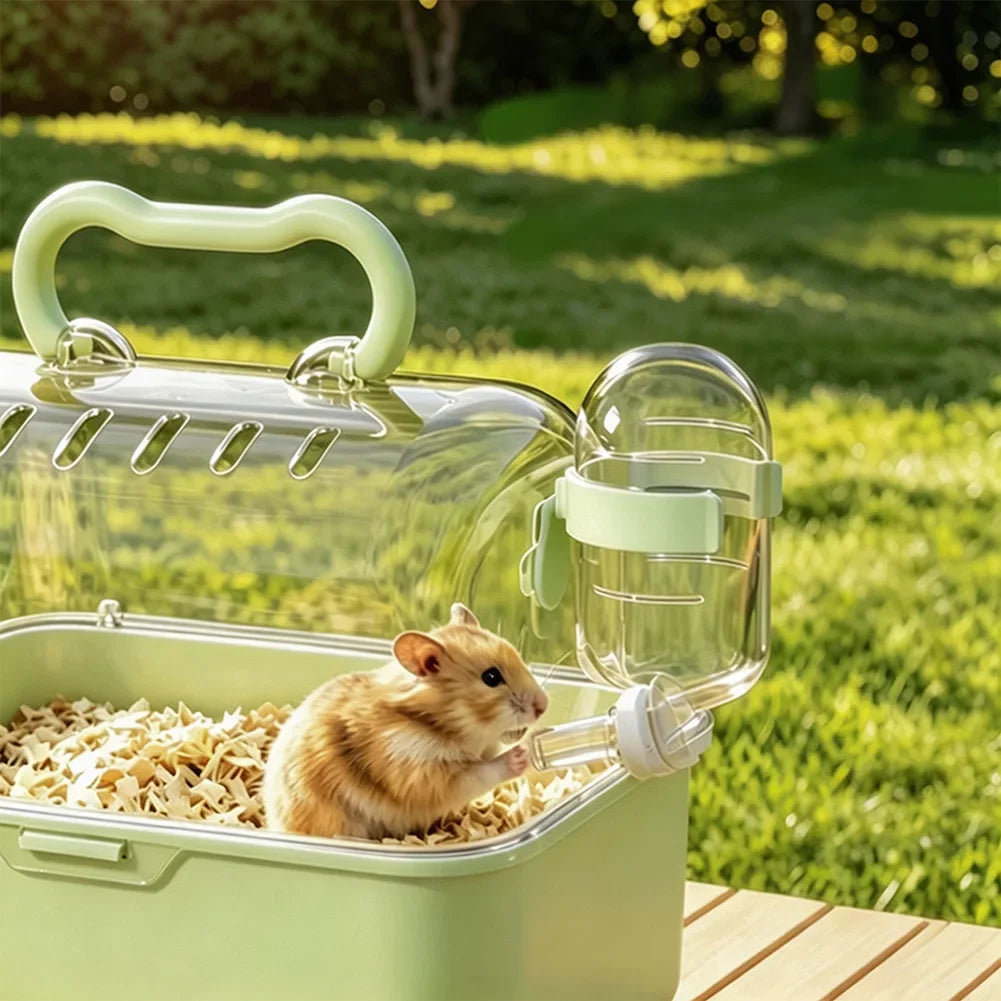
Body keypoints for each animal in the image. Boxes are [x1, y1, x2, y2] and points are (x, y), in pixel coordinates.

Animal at [263, 603, 549, 841]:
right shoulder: (418, 771)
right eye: (491, 677)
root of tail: (275, 827)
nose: (543, 706)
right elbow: (479, 773)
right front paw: (521, 755)